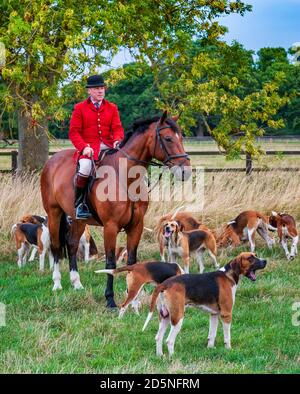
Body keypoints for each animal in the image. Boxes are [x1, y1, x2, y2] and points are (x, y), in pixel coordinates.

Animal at [39, 111, 191, 308]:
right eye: (168, 138)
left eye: (181, 137)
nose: (186, 171)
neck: (126, 177)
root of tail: (52, 160)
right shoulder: (110, 227)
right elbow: (110, 263)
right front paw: (110, 300)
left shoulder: (136, 226)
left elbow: (132, 261)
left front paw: (133, 299)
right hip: (54, 213)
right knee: (57, 245)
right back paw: (57, 283)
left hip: (78, 219)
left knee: (72, 244)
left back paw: (76, 283)